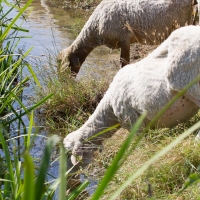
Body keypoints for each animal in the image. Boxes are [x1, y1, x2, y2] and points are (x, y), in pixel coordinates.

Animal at [57, 0, 198, 75]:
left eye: (67, 65)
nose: (66, 85)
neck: (95, 28)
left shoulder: (124, 38)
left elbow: (124, 63)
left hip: (182, 22)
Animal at [63, 25, 200, 169]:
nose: (72, 172)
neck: (109, 111)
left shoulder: (132, 120)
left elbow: (140, 143)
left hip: (188, 81)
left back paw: (196, 142)